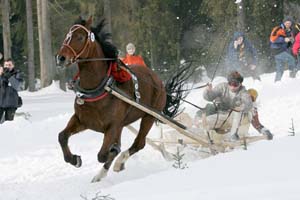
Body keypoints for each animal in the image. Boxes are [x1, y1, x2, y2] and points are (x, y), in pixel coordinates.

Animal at [56, 17, 183, 183]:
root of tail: (158, 81)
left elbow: (103, 155)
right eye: (67, 35)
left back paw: (119, 162)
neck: (100, 87)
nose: (60, 58)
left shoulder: (113, 126)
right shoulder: (82, 120)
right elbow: (62, 137)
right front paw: (74, 159)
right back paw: (101, 173)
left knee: (139, 143)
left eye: (80, 37)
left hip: (149, 116)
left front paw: (114, 153)